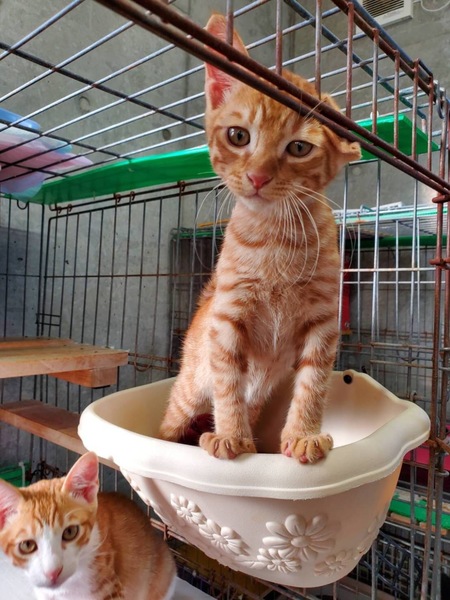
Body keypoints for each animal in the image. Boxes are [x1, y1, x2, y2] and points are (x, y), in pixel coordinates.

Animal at [159, 13, 361, 464]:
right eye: (238, 136)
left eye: (299, 147)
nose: (258, 176)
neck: (276, 239)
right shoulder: (228, 319)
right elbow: (228, 383)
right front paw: (230, 436)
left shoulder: (323, 323)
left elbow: (313, 384)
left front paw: (302, 434)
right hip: (187, 390)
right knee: (171, 420)